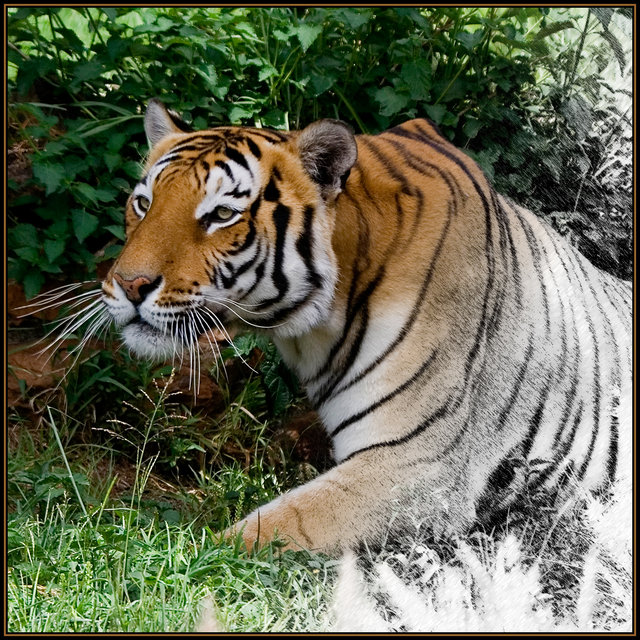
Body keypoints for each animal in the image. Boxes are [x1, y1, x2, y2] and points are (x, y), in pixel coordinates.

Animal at [100, 98, 632, 554]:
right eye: (144, 203)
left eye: (222, 215)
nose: (128, 284)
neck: (314, 328)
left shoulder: (421, 464)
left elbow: (270, 528)